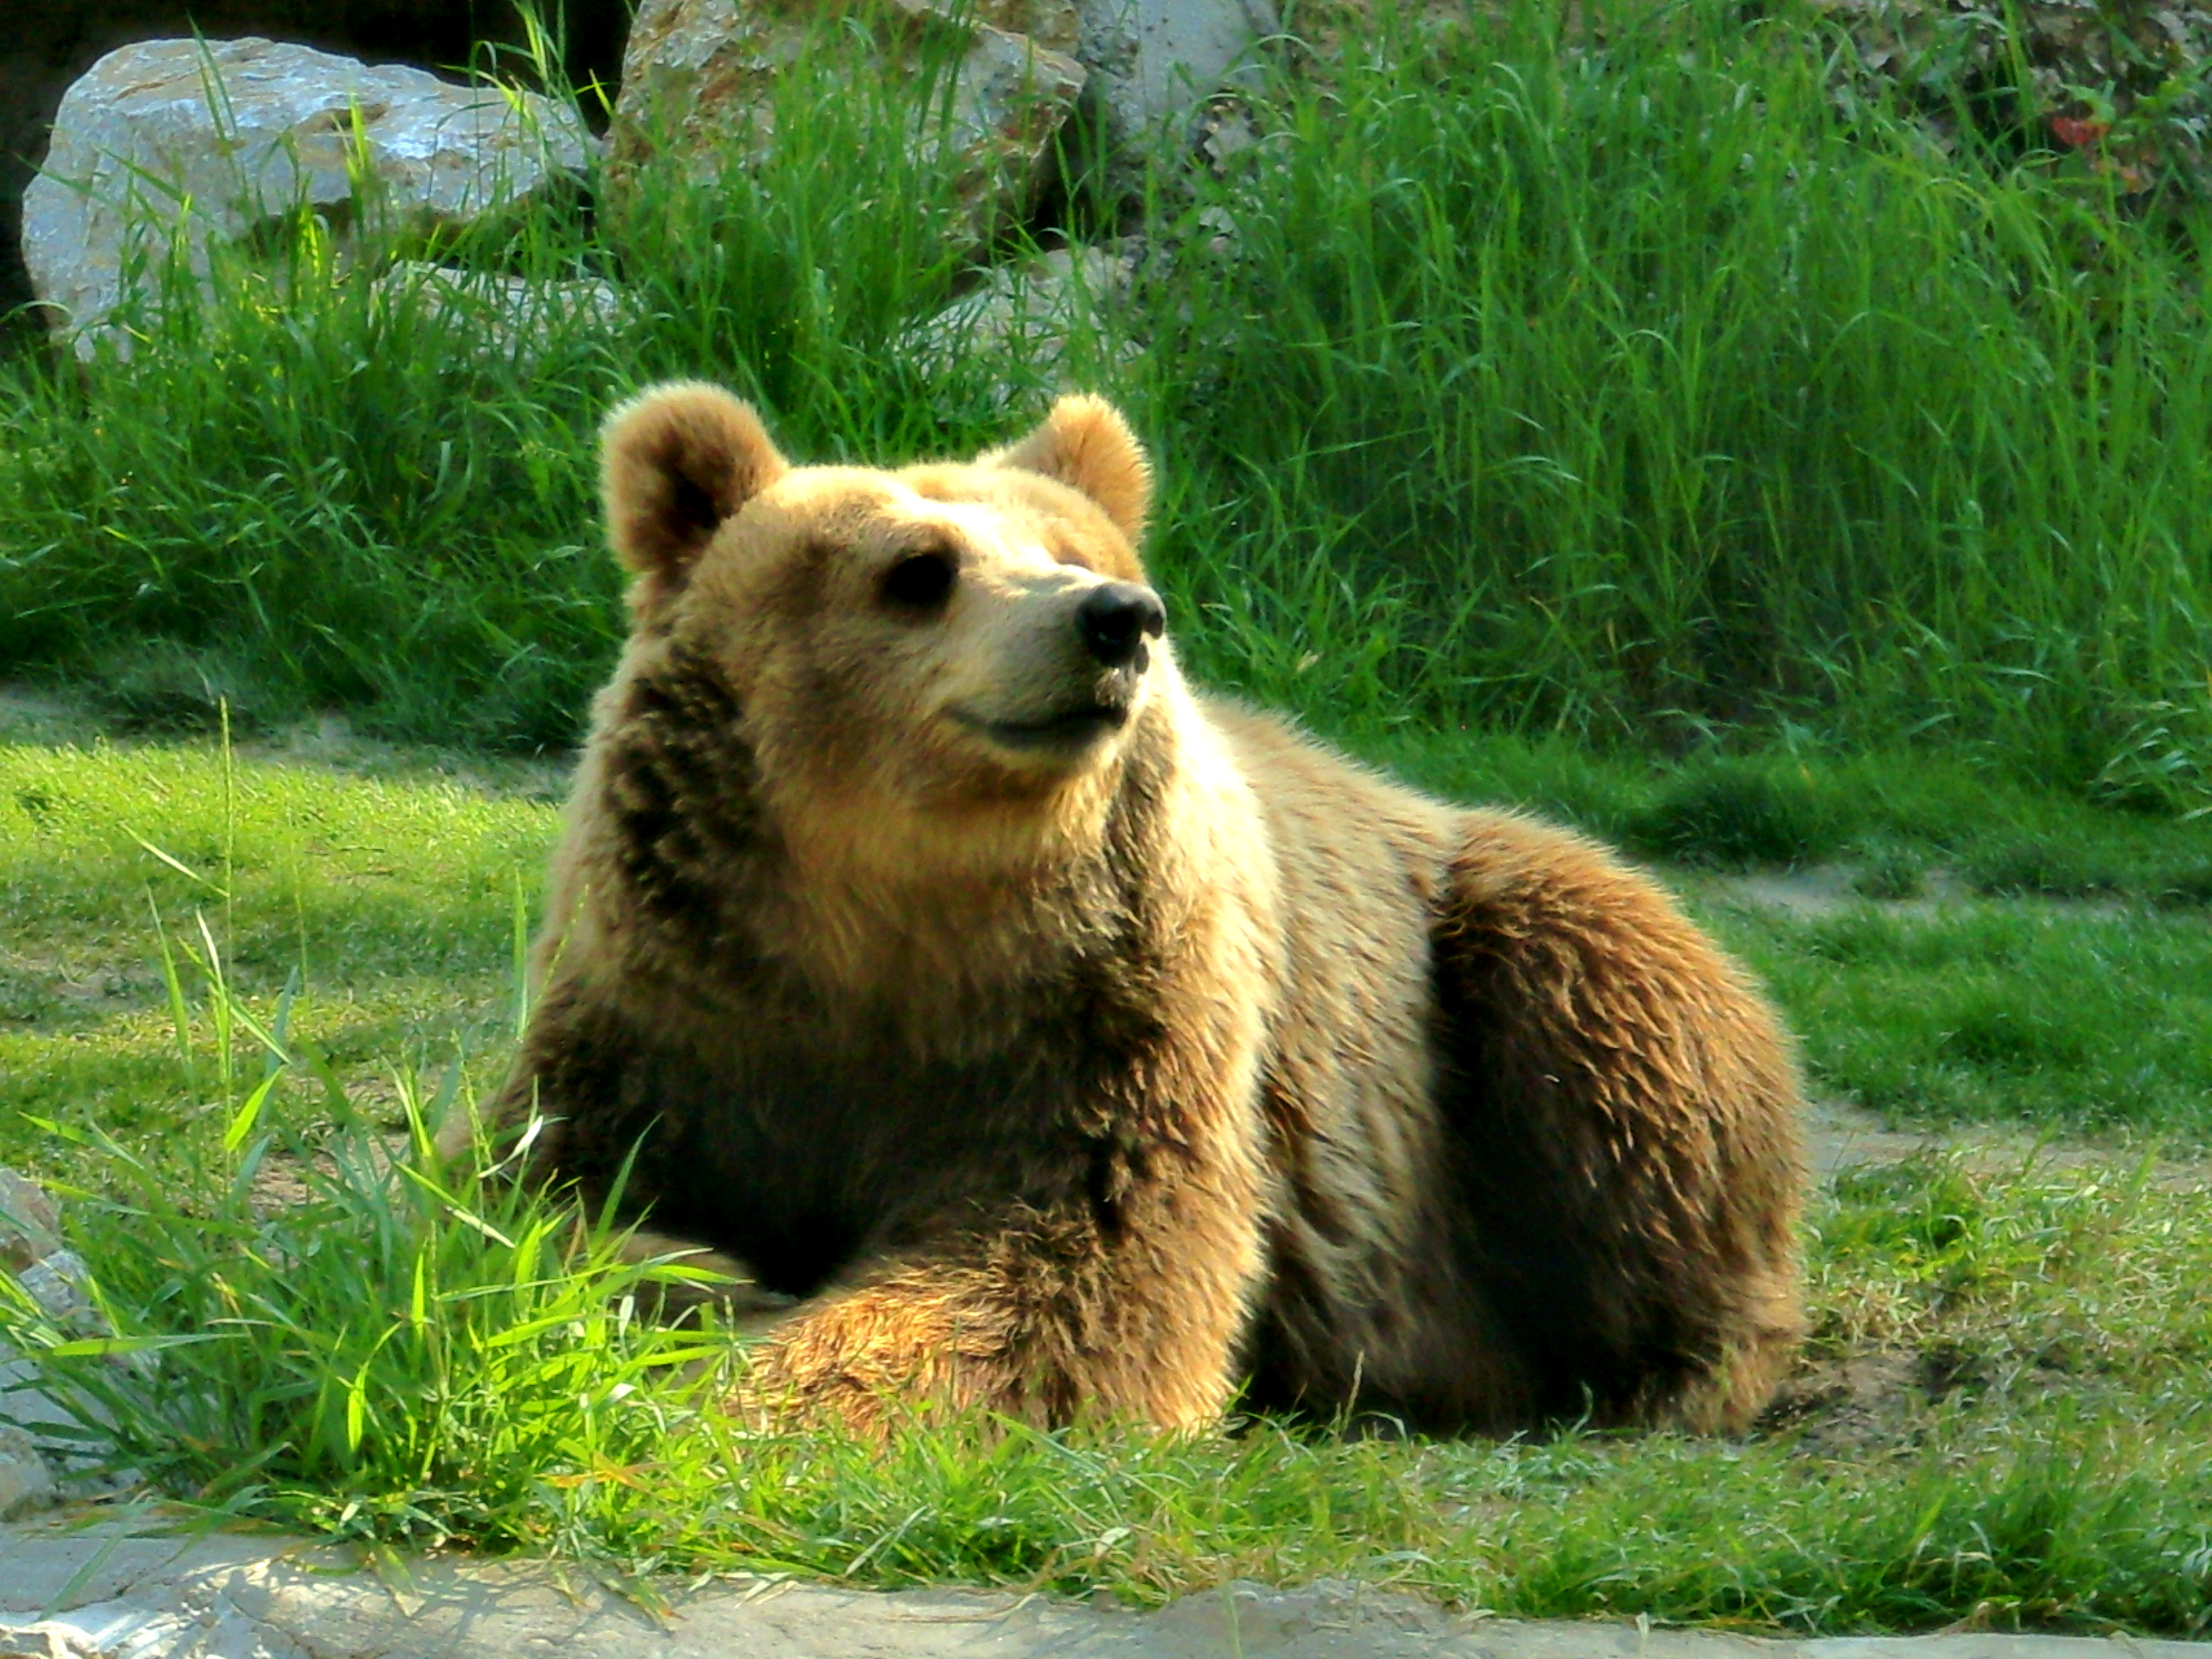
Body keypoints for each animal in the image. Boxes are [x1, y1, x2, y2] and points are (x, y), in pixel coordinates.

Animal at [475, 387, 1805, 1441]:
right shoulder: (681, 998)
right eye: (918, 569)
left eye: (1071, 547)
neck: (896, 905)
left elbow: (1066, 1271)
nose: (1115, 616)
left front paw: (766, 1384)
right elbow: (518, 1189)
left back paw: (1668, 1369)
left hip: (1500, 956)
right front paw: (700, 1274)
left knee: (1622, 1051)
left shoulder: (1111, 1029)